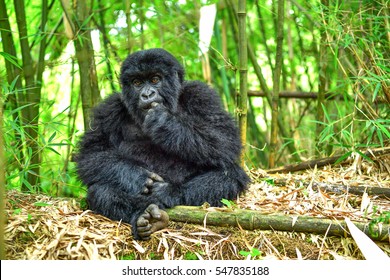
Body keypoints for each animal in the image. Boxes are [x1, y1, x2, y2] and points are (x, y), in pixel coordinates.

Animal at [76, 48, 250, 241]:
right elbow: (91, 154)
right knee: (99, 190)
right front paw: (136, 176)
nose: (147, 95)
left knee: (231, 175)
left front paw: (164, 123)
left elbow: (226, 140)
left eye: (155, 79)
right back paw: (145, 216)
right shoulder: (109, 108)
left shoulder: (202, 95)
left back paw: (170, 192)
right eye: (137, 82)